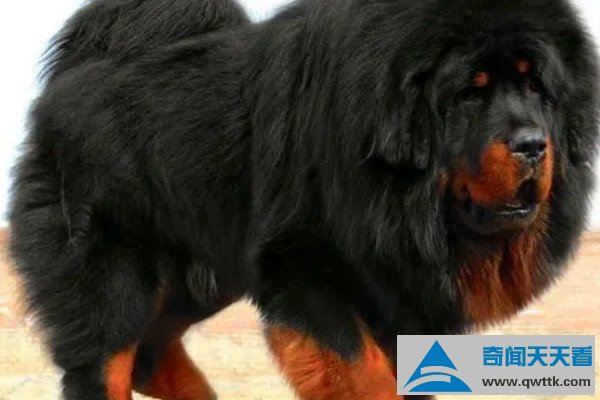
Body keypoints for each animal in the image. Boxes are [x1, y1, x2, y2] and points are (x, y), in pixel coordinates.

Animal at [9, 0, 599, 399]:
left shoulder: (405, 294)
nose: (533, 144)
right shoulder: (308, 270)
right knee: (104, 362)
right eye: (471, 92)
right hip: (114, 277)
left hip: (198, 276)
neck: (402, 199)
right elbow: (363, 371)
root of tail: (70, 79)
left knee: (150, 355)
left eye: (536, 87)